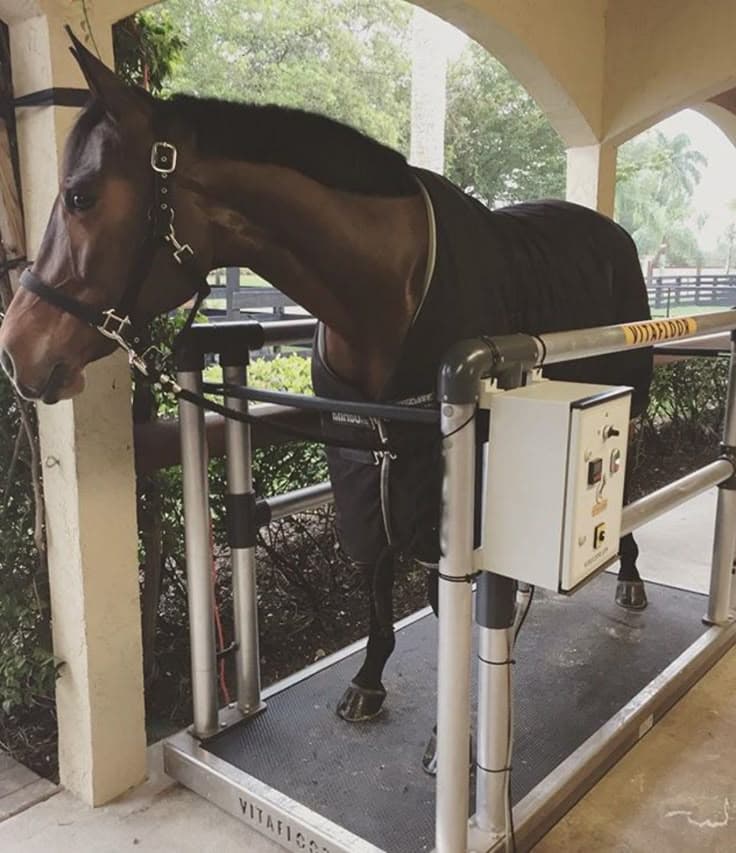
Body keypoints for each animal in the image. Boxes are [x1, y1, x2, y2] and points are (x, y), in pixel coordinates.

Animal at [0, 32, 653, 725]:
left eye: (80, 196)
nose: (17, 352)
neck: (387, 293)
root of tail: (611, 229)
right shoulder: (363, 458)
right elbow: (374, 570)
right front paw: (369, 677)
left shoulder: (440, 475)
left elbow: (441, 587)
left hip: (628, 403)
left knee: (626, 482)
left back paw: (631, 577)